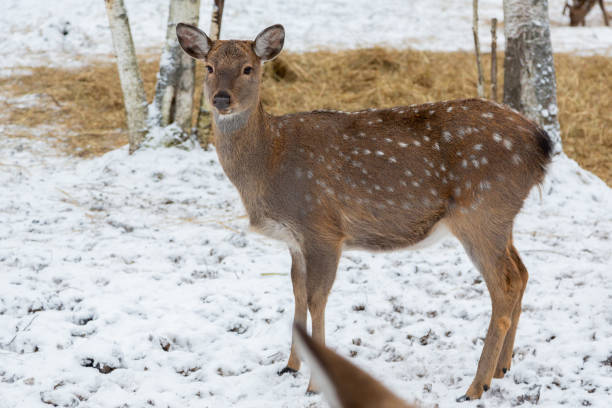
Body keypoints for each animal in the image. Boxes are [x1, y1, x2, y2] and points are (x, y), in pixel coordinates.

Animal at [176, 23, 556, 402]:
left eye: (248, 68)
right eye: (209, 67)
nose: (221, 99)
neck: (269, 162)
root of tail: (541, 143)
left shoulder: (322, 227)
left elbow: (316, 300)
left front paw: (315, 384)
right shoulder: (294, 240)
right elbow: (297, 296)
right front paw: (289, 366)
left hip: (480, 210)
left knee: (504, 285)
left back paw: (476, 386)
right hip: (501, 216)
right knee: (522, 273)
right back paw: (503, 368)